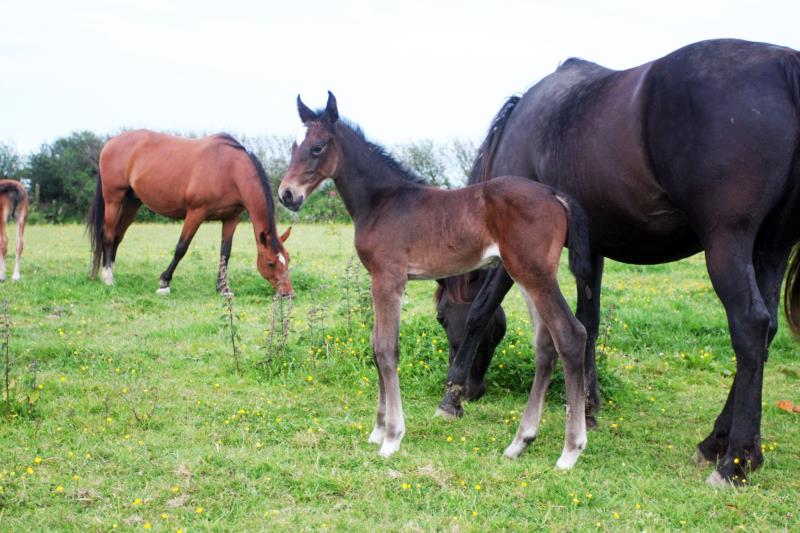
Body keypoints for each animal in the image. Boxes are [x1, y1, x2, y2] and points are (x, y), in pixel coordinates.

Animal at [88, 129, 294, 296]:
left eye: (288, 259)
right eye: (270, 263)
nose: (288, 293)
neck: (229, 169)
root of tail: (110, 143)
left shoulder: (231, 218)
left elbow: (225, 252)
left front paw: (223, 288)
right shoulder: (196, 213)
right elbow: (181, 247)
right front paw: (164, 282)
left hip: (132, 203)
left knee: (117, 237)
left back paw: (110, 271)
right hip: (114, 199)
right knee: (108, 236)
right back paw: (108, 278)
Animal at [278, 93, 592, 468]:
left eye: (318, 147)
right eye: (293, 145)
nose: (286, 195)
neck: (382, 202)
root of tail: (553, 193)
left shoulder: (388, 279)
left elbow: (385, 349)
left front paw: (392, 437)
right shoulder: (379, 280)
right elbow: (375, 346)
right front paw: (377, 430)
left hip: (534, 273)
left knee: (570, 335)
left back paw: (570, 451)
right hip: (526, 275)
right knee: (545, 346)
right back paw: (519, 442)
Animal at [434, 39, 800, 484]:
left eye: (440, 318)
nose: (475, 390)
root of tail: (783, 63)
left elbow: (481, 311)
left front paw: (451, 397)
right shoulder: (591, 248)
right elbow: (588, 322)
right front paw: (587, 408)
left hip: (729, 242)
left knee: (749, 327)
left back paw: (736, 460)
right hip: (770, 247)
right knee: (765, 333)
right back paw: (715, 442)